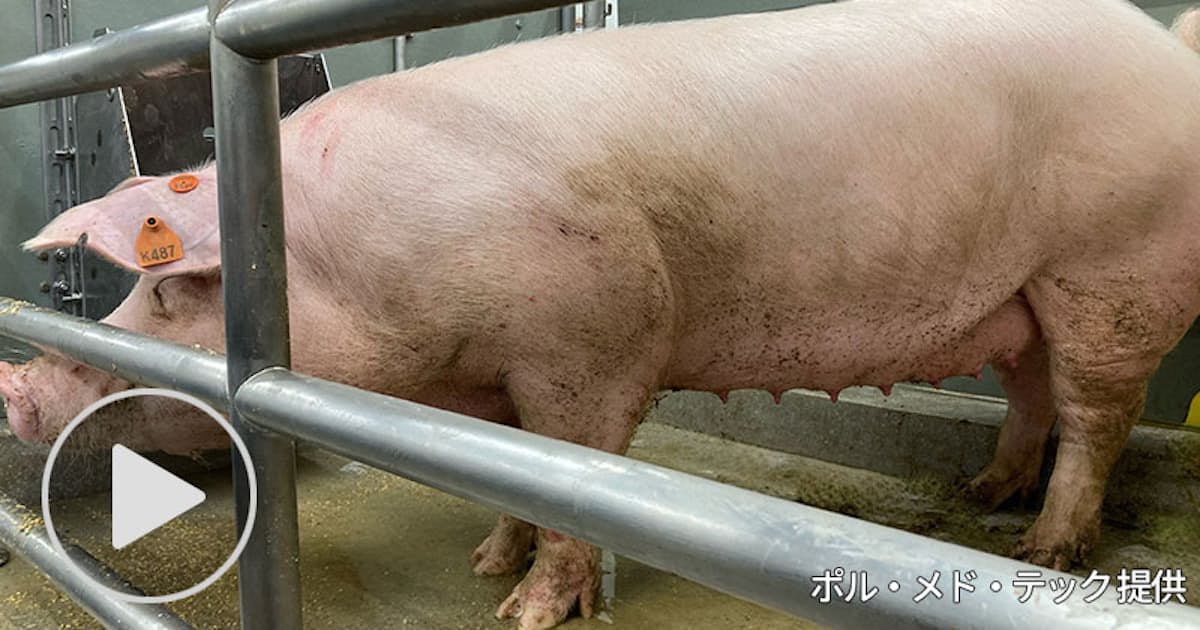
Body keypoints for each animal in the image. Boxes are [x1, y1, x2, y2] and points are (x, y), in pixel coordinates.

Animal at [5, 0, 1200, 627]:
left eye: (167, 289)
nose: (17, 391)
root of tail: (1168, 45)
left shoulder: (592, 335)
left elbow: (572, 469)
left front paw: (524, 611)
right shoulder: (485, 373)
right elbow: (506, 470)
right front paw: (486, 564)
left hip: (1115, 266)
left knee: (1096, 410)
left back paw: (1047, 552)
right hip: (1029, 287)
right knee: (1034, 387)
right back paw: (988, 494)